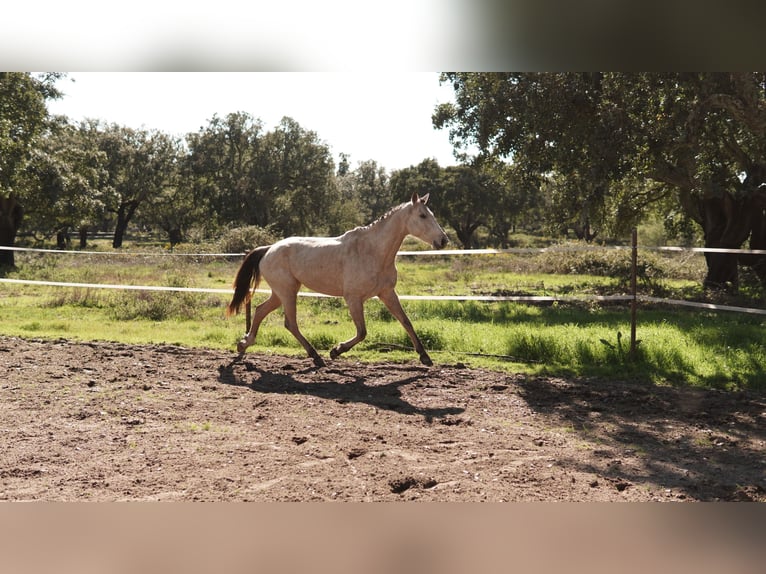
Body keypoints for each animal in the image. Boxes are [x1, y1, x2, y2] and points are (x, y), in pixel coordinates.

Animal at [226, 192, 449, 367]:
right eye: (422, 215)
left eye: (432, 214)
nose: (443, 240)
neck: (373, 252)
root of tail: (268, 249)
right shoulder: (353, 298)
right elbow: (362, 332)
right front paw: (336, 350)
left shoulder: (387, 293)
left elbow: (406, 322)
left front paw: (425, 357)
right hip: (287, 292)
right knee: (290, 323)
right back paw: (316, 356)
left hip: (281, 293)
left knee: (260, 310)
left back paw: (243, 344)